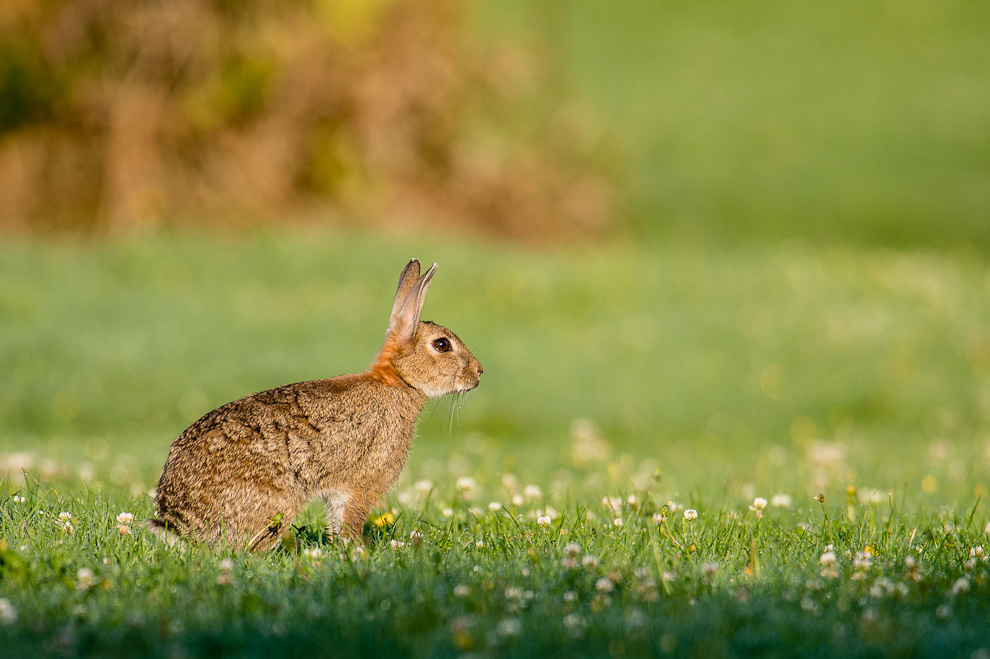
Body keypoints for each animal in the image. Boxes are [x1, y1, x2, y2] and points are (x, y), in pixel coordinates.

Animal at [145, 260, 482, 552]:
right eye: (442, 344)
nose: (479, 373)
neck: (398, 381)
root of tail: (179, 523)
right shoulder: (360, 484)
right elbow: (349, 521)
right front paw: (356, 551)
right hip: (276, 503)